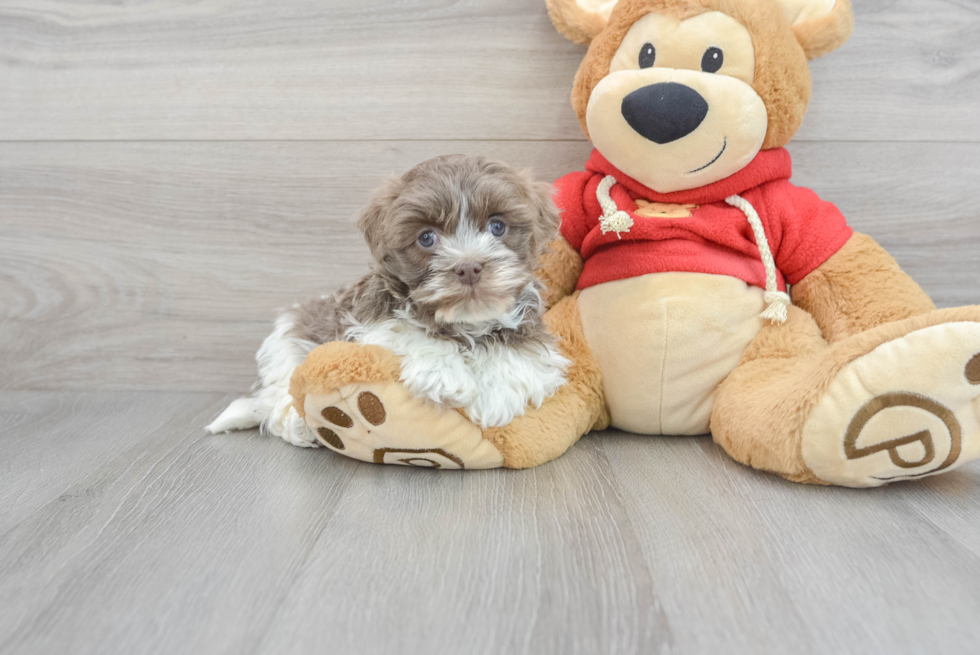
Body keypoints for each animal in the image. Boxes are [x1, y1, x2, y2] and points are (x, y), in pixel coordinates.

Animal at [211, 156, 572, 448]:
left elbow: (520, 351)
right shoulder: (369, 316)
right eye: (426, 237)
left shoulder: (527, 322)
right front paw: (446, 374)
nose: (469, 267)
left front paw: (497, 393)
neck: (463, 319)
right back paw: (298, 424)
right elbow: (405, 328)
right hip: (288, 340)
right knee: (277, 399)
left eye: (498, 226)